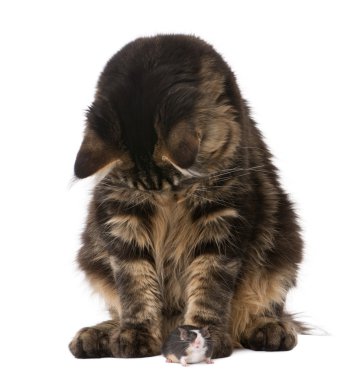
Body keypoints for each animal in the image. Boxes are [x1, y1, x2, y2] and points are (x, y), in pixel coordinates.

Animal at [69, 34, 304, 358]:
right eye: (148, 195)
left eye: (179, 186)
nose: (168, 204)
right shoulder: (123, 216)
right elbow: (135, 287)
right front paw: (136, 334)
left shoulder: (222, 217)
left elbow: (209, 286)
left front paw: (204, 336)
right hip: (92, 250)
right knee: (117, 309)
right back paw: (98, 334)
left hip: (283, 244)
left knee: (262, 310)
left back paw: (269, 329)